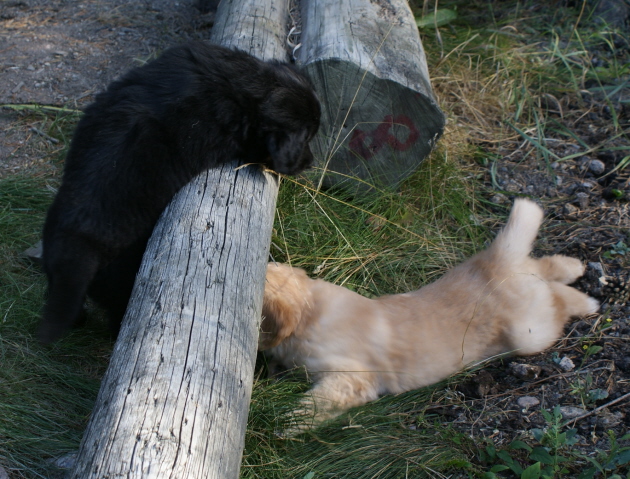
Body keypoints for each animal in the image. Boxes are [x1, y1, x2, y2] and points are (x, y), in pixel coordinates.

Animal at [260, 200, 604, 432]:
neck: (309, 311)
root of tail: (498, 260)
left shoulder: (349, 379)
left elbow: (313, 406)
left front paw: (282, 426)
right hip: (520, 282)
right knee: (543, 267)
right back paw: (575, 267)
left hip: (529, 332)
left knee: (558, 301)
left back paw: (588, 301)